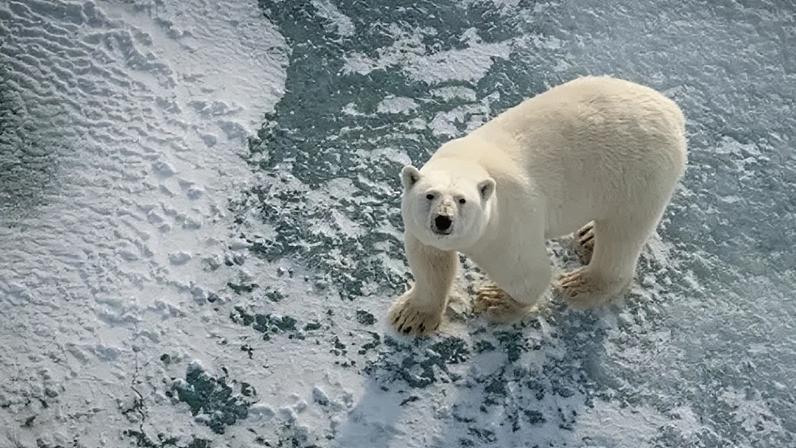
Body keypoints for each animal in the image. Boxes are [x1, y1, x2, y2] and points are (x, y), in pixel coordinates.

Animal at [389, 76, 687, 336]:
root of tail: (672, 110)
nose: (443, 220)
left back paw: (582, 283)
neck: (470, 161)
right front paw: (411, 316)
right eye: (430, 195)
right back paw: (589, 235)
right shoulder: (424, 231)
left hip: (637, 175)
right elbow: (430, 261)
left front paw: (496, 299)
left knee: (622, 234)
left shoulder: (508, 222)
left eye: (463, 200)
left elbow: (528, 273)